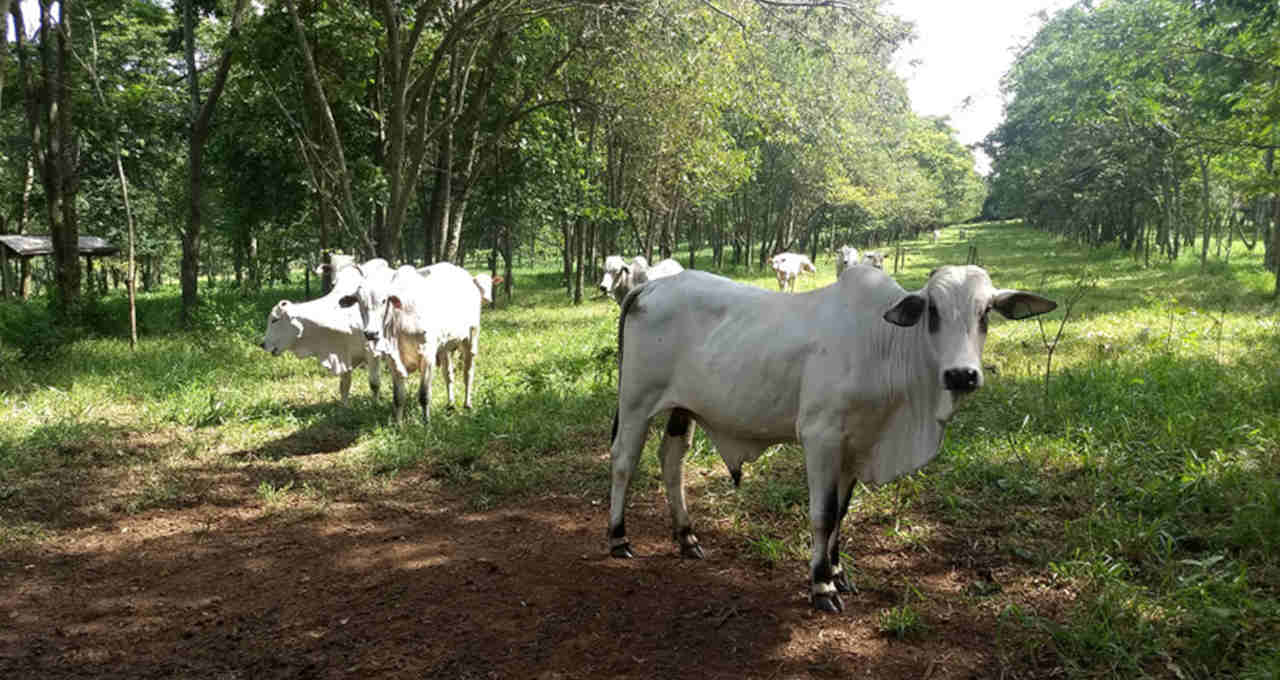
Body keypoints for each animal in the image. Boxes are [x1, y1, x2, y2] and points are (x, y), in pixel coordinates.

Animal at [259, 257, 389, 404]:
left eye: (275, 320)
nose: (262, 344)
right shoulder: (343, 355)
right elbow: (344, 386)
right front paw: (345, 406)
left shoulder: (373, 353)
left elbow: (374, 384)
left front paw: (376, 404)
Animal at [604, 265, 1054, 612]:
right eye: (933, 312)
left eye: (986, 312)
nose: (962, 375)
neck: (884, 345)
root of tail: (651, 287)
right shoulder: (821, 439)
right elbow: (822, 513)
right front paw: (821, 585)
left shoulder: (856, 446)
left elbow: (841, 513)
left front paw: (839, 572)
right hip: (636, 401)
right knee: (624, 460)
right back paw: (618, 537)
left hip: (683, 409)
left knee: (671, 459)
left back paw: (686, 537)